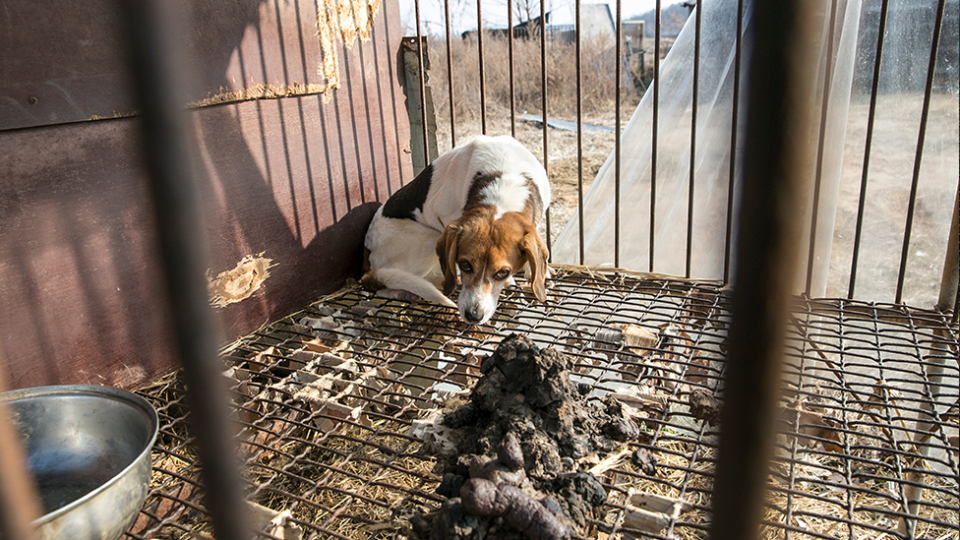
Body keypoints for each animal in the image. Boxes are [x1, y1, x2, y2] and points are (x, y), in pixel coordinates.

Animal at [360, 135, 552, 324]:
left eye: (502, 272)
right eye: (465, 264)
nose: (473, 316)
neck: (504, 182)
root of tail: (367, 257)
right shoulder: (444, 217)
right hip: (430, 237)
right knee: (385, 287)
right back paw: (404, 292)